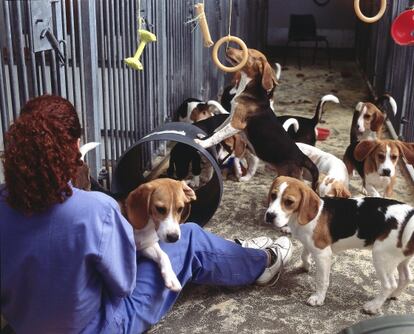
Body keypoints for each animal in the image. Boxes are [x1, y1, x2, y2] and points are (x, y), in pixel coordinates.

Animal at [196, 48, 318, 192]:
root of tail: (301, 156)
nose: (227, 48)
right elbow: (216, 130)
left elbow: (218, 135)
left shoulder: (236, 123)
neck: (249, 88)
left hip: (291, 175)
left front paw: (202, 143)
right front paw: (203, 137)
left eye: (247, 52)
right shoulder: (231, 116)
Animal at [264, 176, 414, 314]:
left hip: (381, 256)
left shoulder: (322, 253)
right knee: (406, 278)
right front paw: (306, 266)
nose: (270, 215)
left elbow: (322, 279)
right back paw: (393, 296)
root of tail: (409, 215)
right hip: (400, 257)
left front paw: (318, 298)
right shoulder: (311, 243)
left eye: (289, 202)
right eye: (273, 195)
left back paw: (373, 306)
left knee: (389, 285)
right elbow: (304, 255)